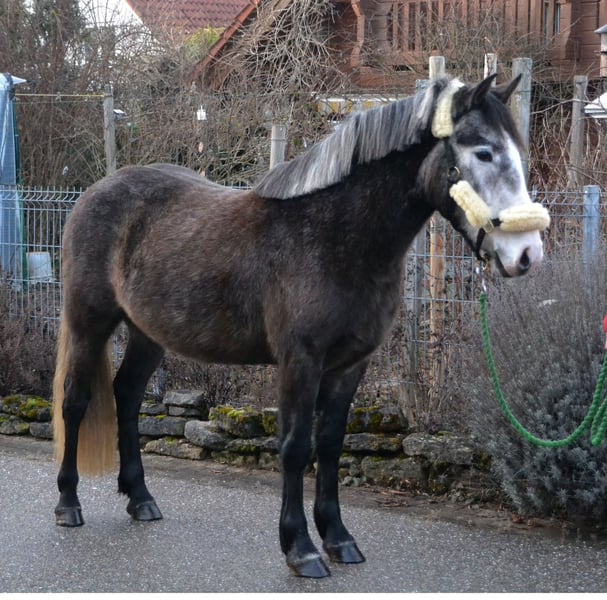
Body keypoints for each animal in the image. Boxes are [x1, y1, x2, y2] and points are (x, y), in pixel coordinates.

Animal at [52, 75, 550, 578]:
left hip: (148, 333)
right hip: (88, 323)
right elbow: (294, 446)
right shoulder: (300, 361)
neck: (335, 239)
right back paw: (68, 504)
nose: (527, 253)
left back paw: (140, 499)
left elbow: (328, 446)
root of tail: (93, 193)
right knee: (75, 402)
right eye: (483, 152)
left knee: (128, 396)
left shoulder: (350, 365)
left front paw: (339, 538)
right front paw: (301, 548)